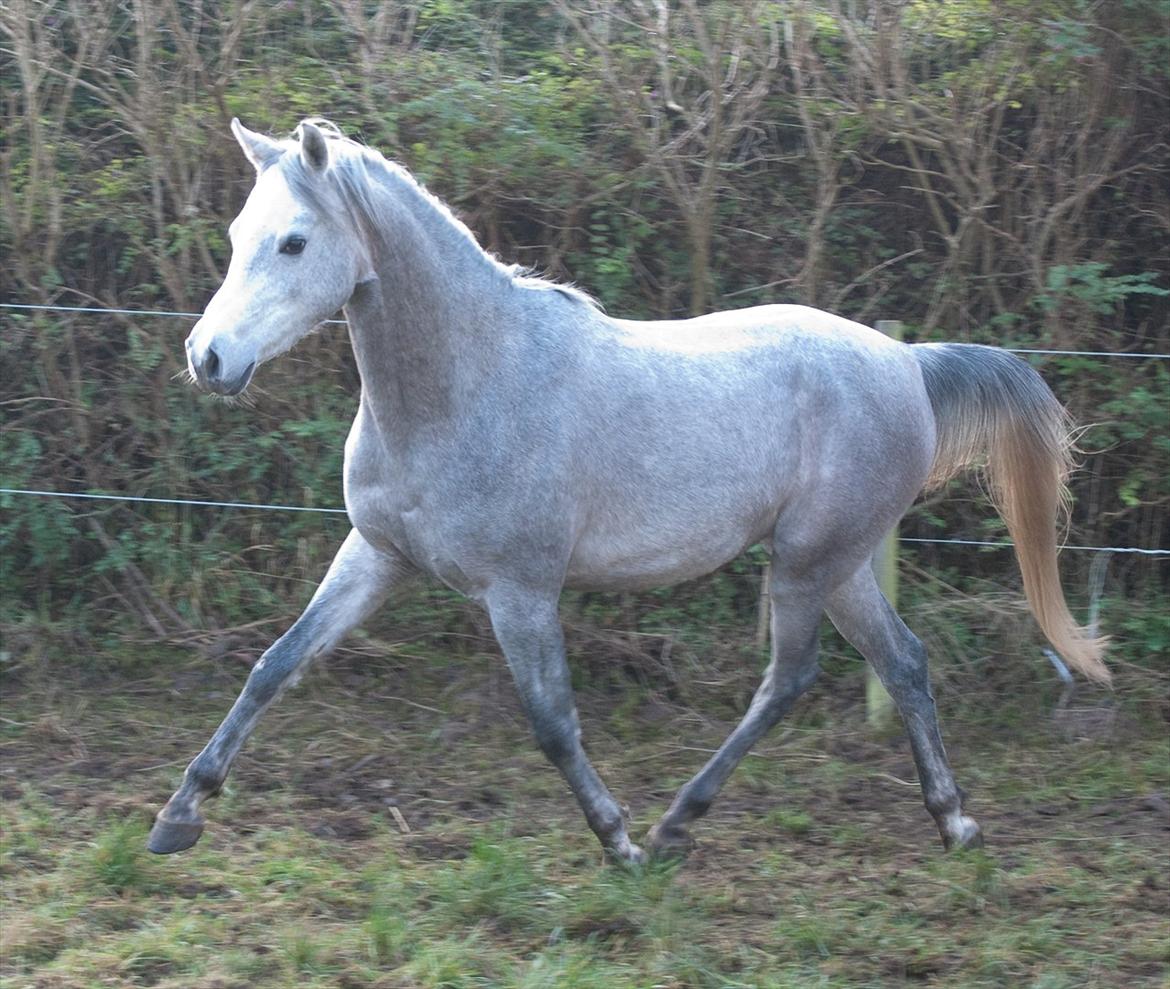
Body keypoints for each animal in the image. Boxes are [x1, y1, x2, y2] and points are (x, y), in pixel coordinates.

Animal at [146, 119, 1104, 866]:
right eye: (237, 232)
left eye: (294, 242)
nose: (207, 358)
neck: (467, 385)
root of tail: (906, 360)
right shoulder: (378, 556)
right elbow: (275, 664)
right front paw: (177, 815)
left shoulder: (521, 591)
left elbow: (553, 722)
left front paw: (619, 840)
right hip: (844, 561)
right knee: (903, 660)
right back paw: (953, 823)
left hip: (806, 561)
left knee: (790, 678)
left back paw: (679, 823)